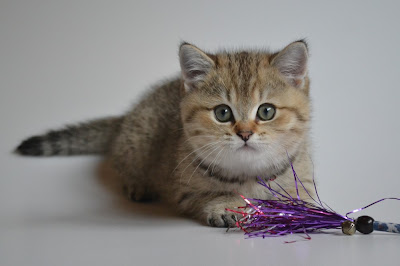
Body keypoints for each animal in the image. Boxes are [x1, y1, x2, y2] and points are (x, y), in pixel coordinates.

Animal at [15, 40, 314, 228]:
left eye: (266, 111)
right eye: (222, 113)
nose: (245, 133)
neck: (247, 173)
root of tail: (127, 116)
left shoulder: (305, 183)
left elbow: (292, 199)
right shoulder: (183, 191)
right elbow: (213, 194)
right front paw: (225, 205)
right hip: (135, 144)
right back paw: (137, 185)